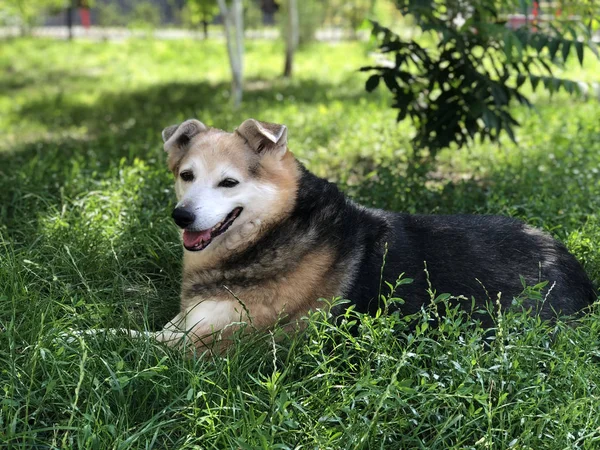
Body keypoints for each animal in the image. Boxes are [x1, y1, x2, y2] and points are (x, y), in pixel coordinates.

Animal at [142, 117, 596, 352]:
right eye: (186, 176)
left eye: (229, 183)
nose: (181, 216)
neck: (276, 228)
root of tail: (578, 273)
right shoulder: (184, 324)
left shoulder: (201, 344)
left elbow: (127, 342)